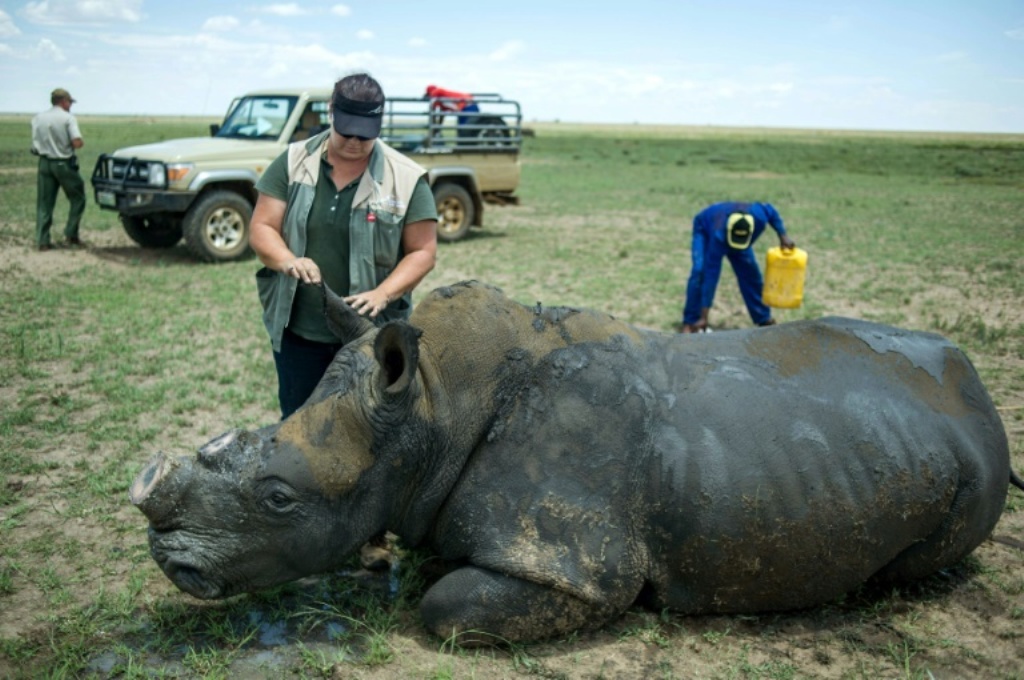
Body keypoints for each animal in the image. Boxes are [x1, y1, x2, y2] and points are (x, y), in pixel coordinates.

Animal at [130, 280, 1020, 643]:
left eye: (278, 498)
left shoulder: (581, 565)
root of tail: (979, 387)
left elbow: (445, 606)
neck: (430, 410)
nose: (168, 557)